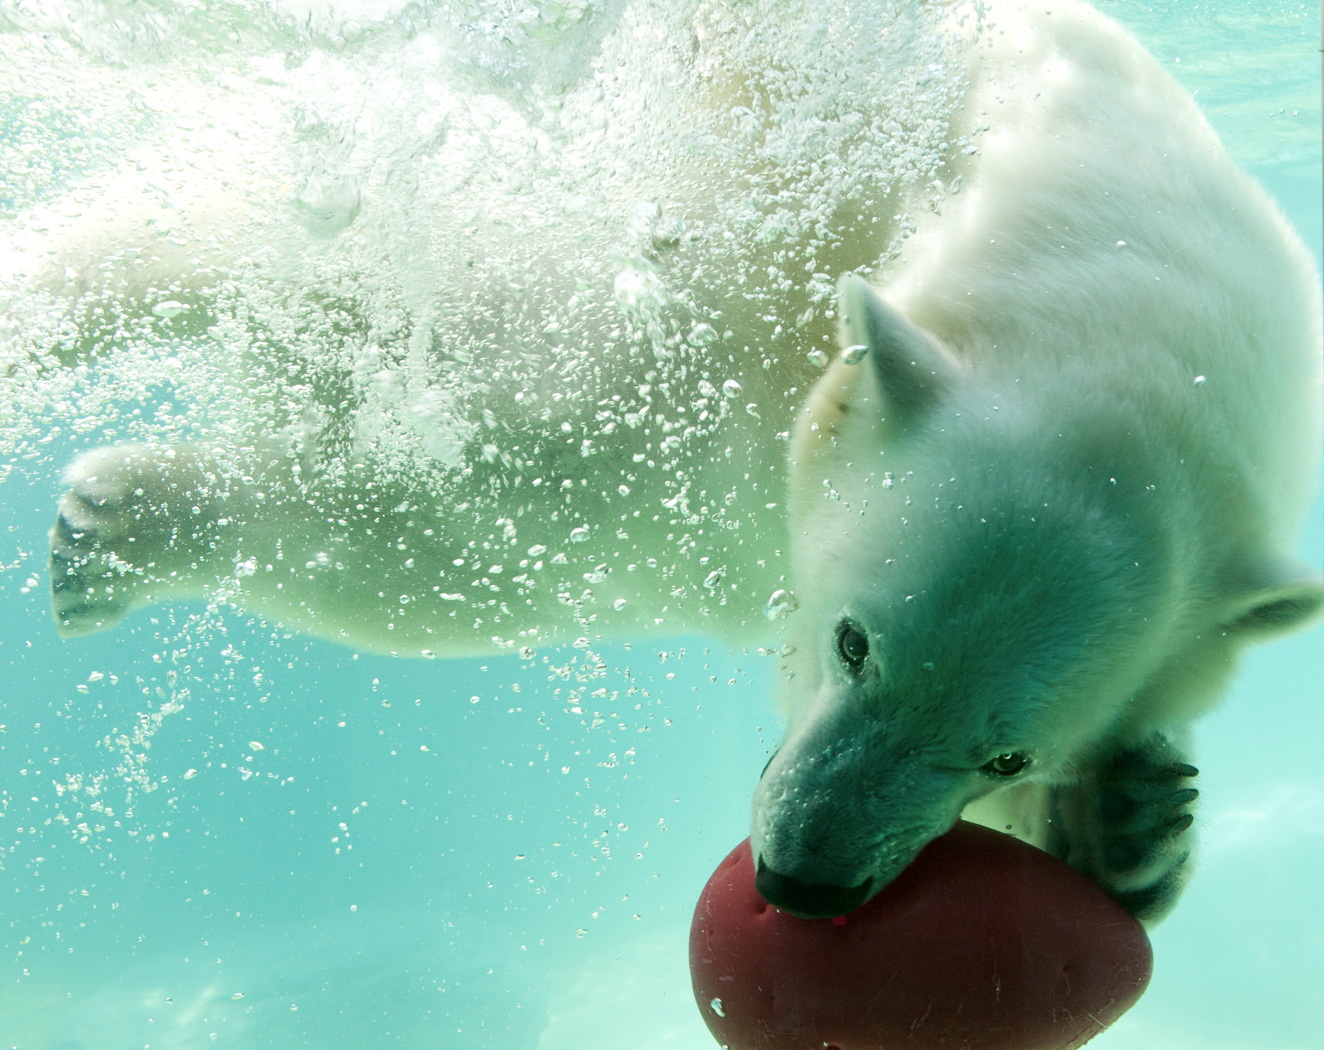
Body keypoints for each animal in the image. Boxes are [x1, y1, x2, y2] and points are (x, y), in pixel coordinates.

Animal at [23, 0, 1324, 921]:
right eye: (857, 642)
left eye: (1010, 745)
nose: (803, 880)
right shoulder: (722, 268)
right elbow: (478, 490)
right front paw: (120, 521)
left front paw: (1124, 824)